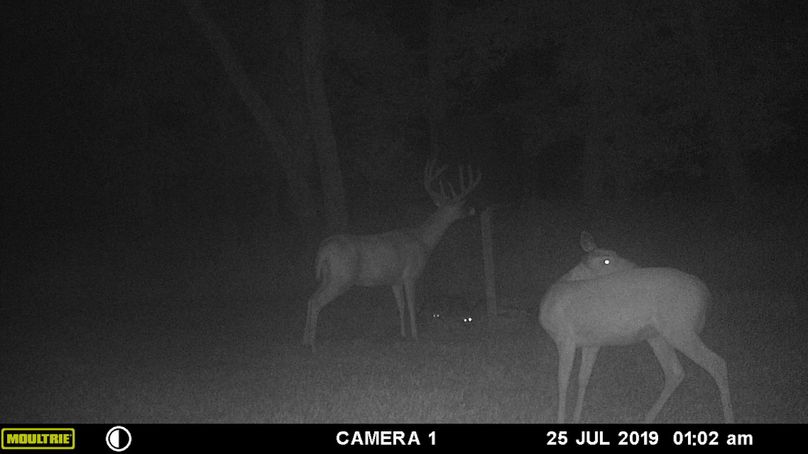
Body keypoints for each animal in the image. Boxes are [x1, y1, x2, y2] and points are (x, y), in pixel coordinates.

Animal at [303, 160, 482, 350]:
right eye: (462, 203)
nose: (473, 209)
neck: (423, 241)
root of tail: (323, 249)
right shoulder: (410, 275)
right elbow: (411, 306)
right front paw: (416, 336)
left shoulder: (395, 279)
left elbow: (400, 306)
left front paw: (403, 334)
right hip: (341, 278)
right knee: (316, 301)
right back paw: (312, 344)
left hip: (327, 276)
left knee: (310, 298)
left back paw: (304, 340)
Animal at [539, 232, 734, 423]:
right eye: (606, 260)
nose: (636, 266)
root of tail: (706, 294)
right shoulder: (591, 343)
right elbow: (582, 379)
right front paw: (576, 418)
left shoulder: (566, 338)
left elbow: (562, 381)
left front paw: (561, 419)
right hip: (658, 335)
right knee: (675, 372)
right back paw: (648, 417)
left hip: (680, 327)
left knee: (717, 363)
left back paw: (729, 416)